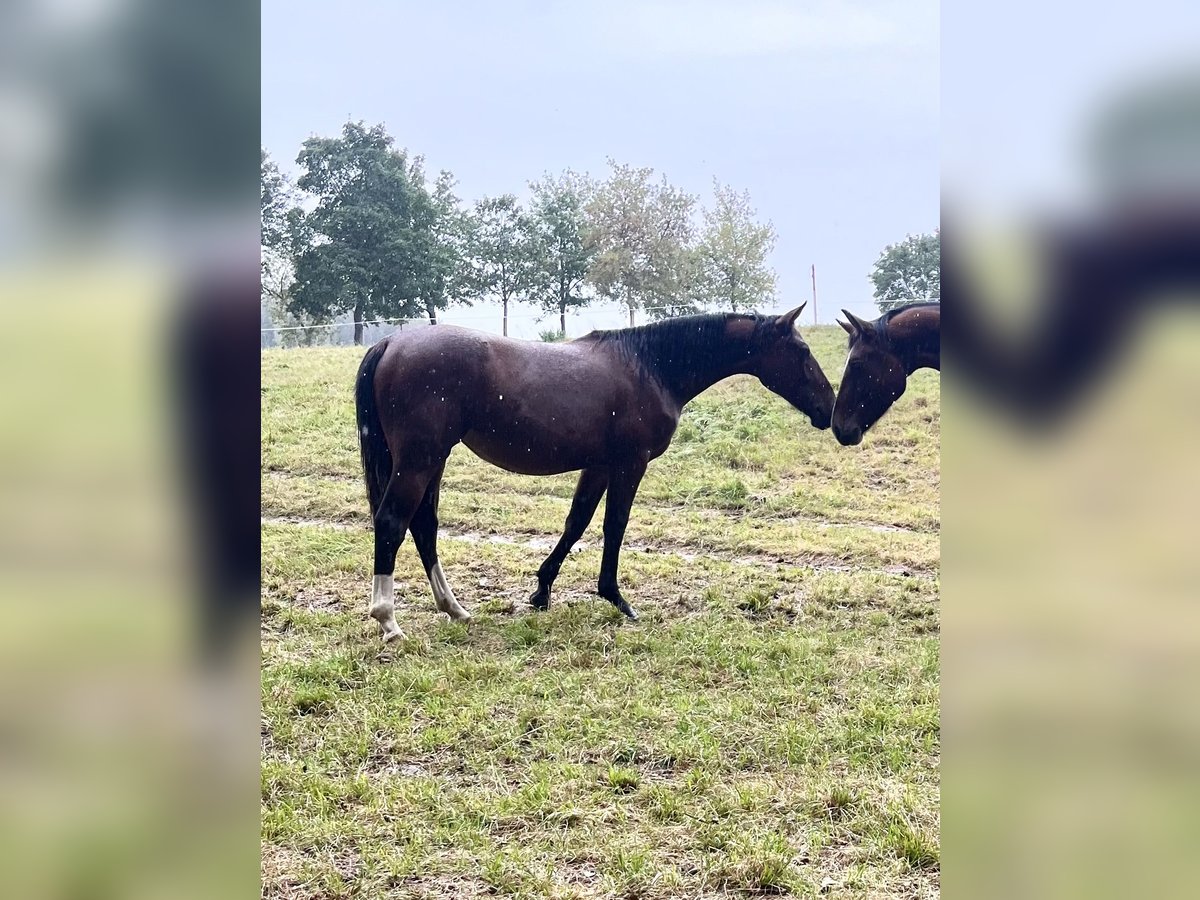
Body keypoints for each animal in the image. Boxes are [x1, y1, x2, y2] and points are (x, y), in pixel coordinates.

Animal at [350, 307, 830, 643]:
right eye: (802, 352)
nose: (828, 407)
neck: (650, 365)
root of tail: (390, 343)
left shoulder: (598, 465)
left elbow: (576, 522)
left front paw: (542, 591)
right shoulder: (630, 463)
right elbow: (614, 525)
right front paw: (616, 598)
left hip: (432, 460)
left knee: (424, 526)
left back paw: (453, 609)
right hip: (419, 459)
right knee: (392, 522)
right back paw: (388, 621)